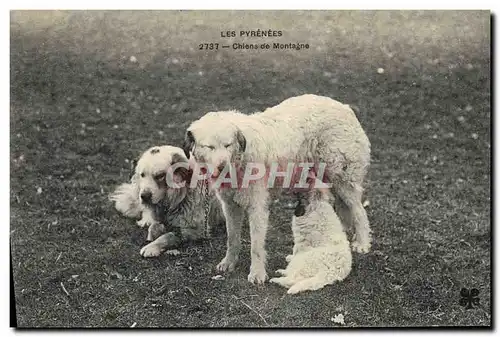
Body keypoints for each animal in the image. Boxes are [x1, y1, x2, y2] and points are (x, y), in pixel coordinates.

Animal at [185, 94, 372, 284]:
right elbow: (232, 238)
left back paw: (362, 243)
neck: (240, 159)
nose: (223, 166)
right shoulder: (230, 206)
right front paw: (229, 262)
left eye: (228, 145)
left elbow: (256, 246)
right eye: (210, 147)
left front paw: (257, 273)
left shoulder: (257, 207)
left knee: (359, 211)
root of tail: (344, 107)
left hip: (342, 179)